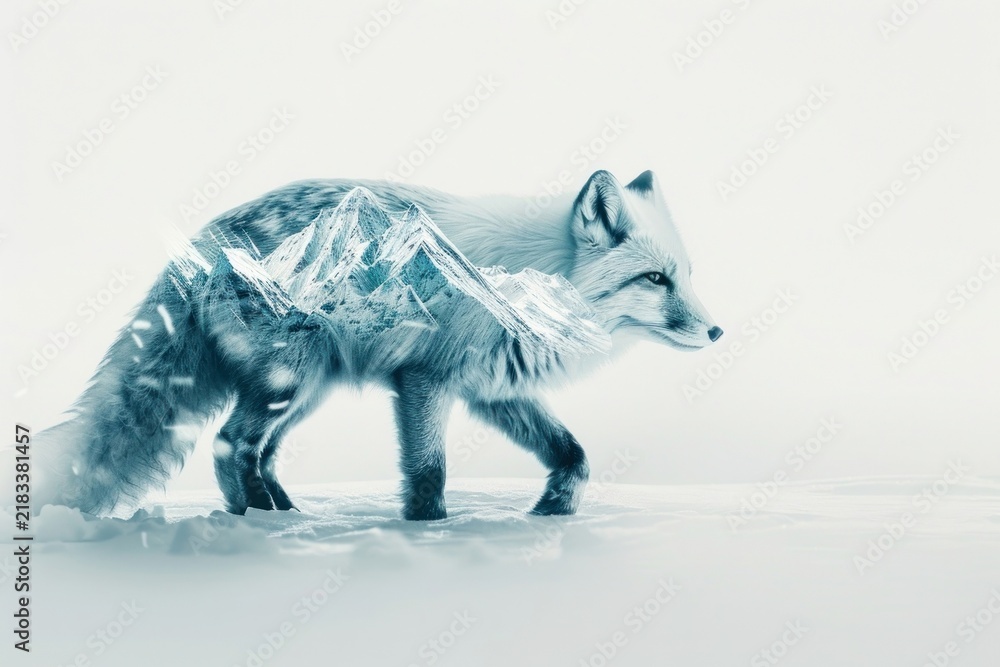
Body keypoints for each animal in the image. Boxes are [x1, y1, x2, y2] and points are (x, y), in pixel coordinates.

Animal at [28, 169, 722, 520]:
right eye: (655, 279)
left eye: (686, 275)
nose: (717, 331)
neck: (528, 283)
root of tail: (199, 244)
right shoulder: (425, 380)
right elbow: (428, 471)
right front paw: (428, 530)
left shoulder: (495, 390)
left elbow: (572, 454)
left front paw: (554, 510)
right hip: (292, 379)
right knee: (229, 445)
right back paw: (258, 521)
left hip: (306, 391)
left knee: (260, 453)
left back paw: (283, 513)